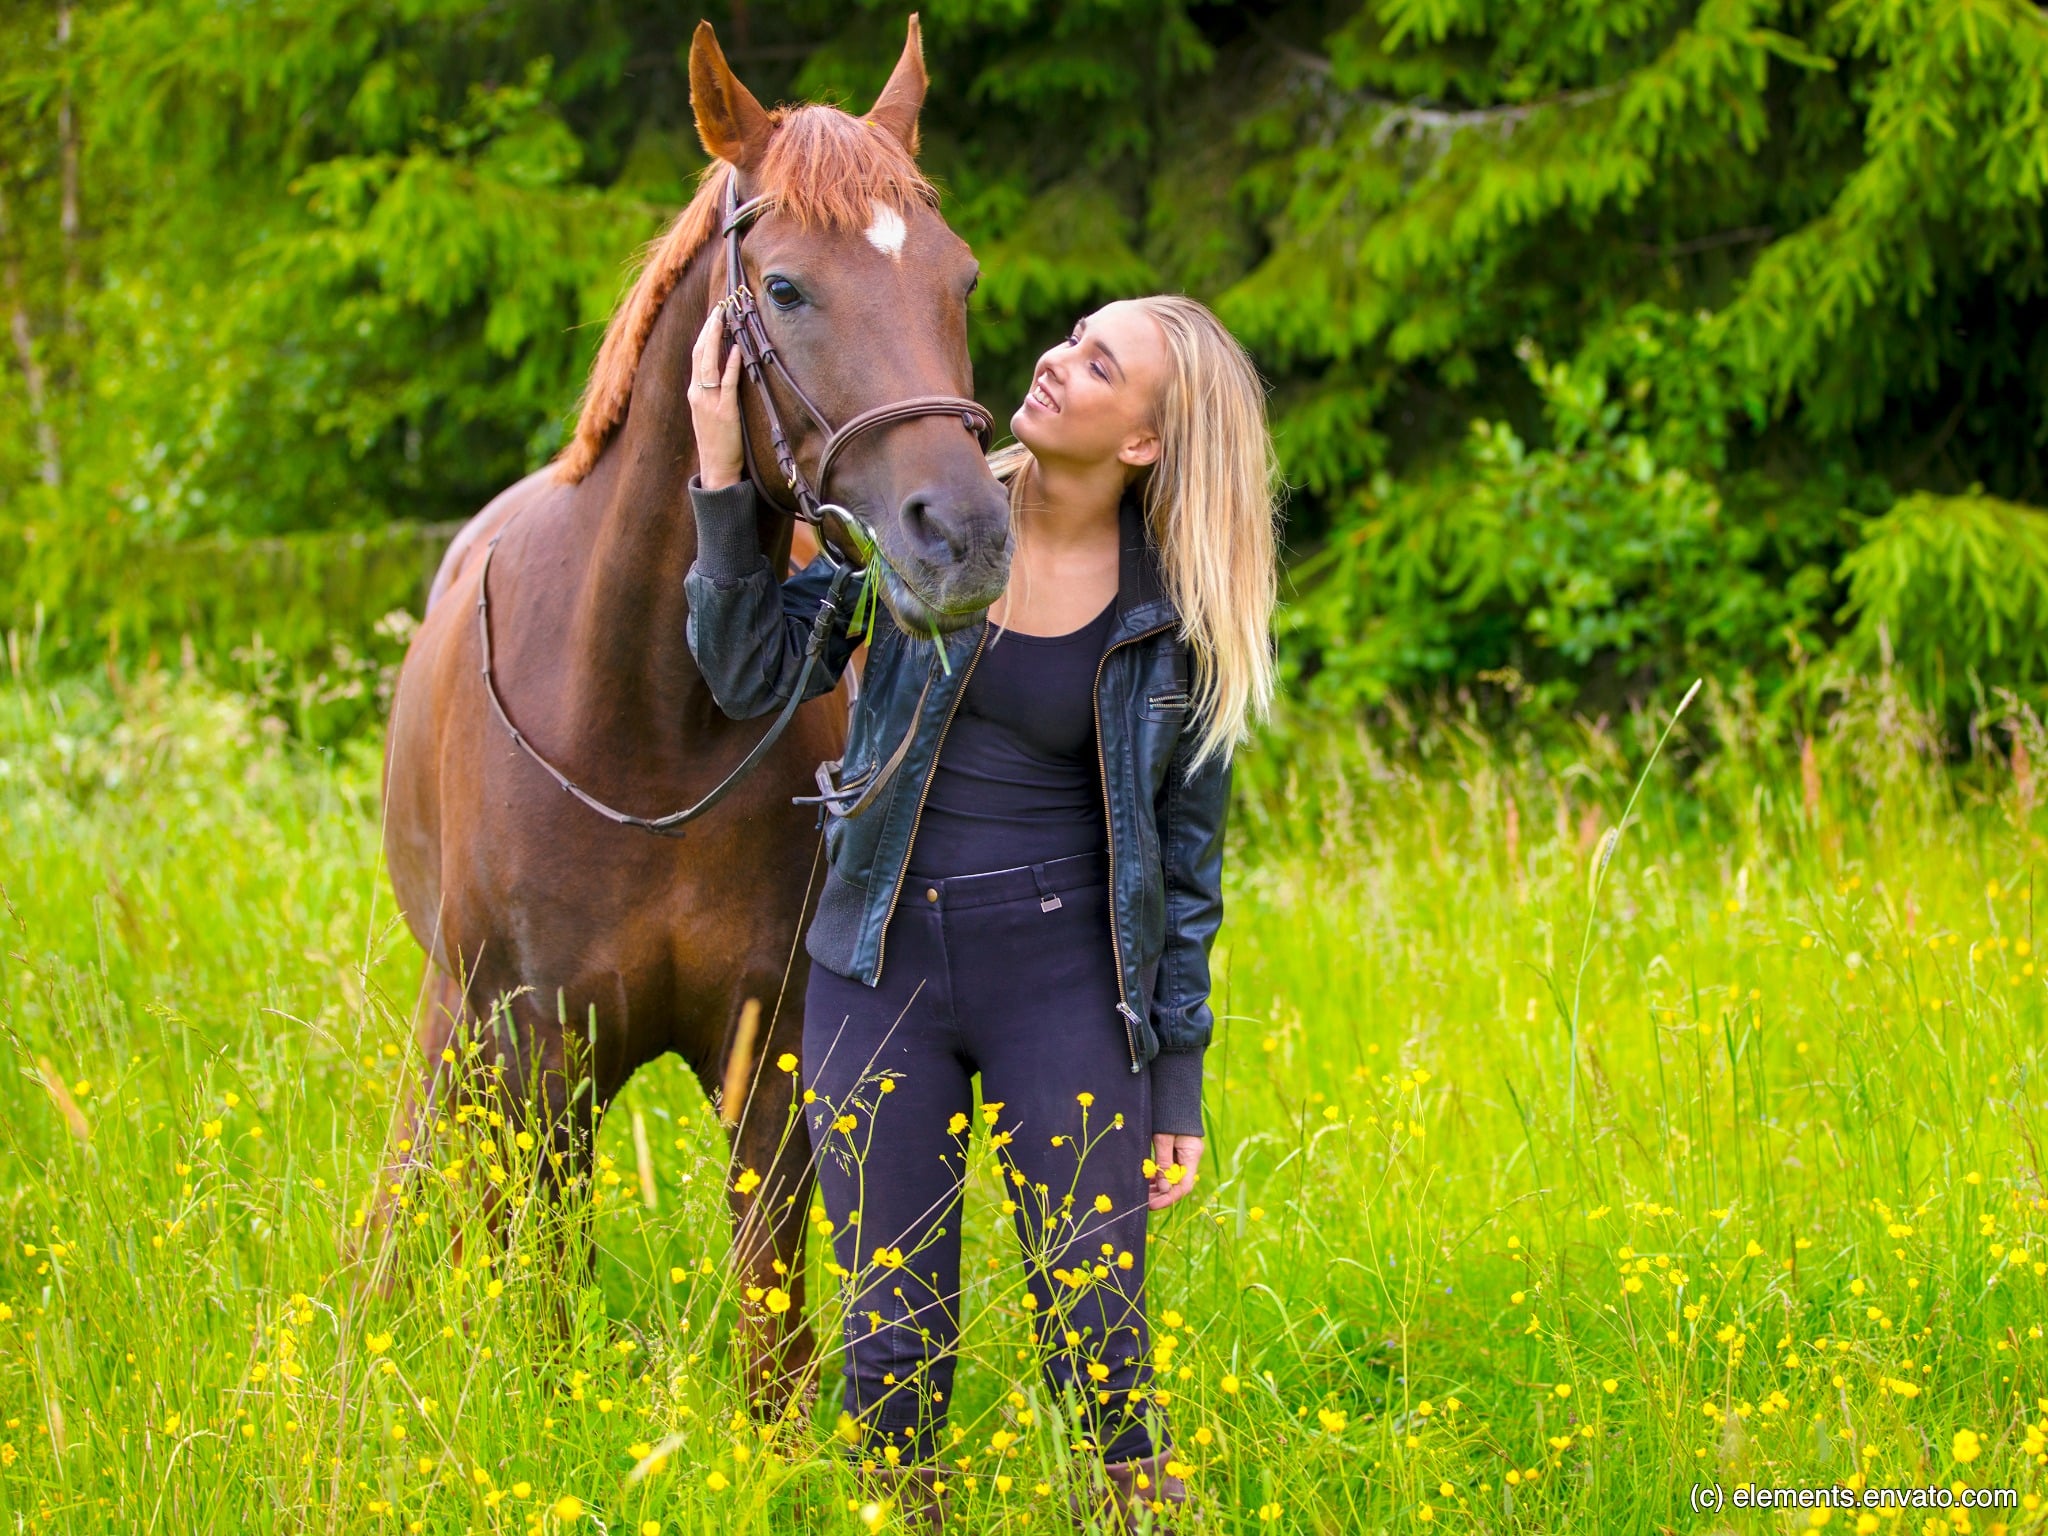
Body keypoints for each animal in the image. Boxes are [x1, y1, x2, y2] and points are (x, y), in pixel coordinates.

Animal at [371, 15, 1011, 1415]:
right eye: (784, 288)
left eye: (960, 279)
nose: (964, 537)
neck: (646, 729)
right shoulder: (545, 1061)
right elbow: (543, 1293)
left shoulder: (768, 1064)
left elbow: (774, 1337)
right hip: (458, 1023)